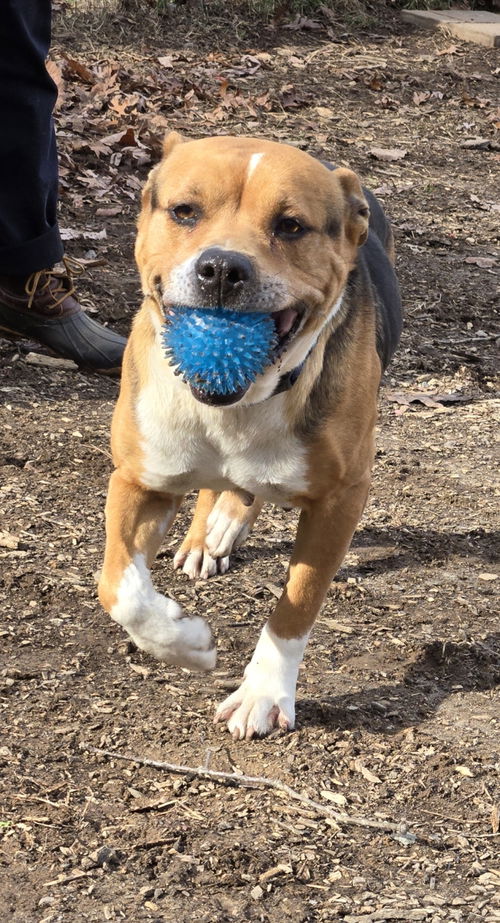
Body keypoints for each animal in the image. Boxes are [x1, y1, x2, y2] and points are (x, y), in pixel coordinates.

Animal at [97, 134, 402, 744]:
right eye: (184, 211)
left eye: (291, 226)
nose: (221, 268)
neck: (238, 404)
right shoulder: (139, 479)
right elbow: (119, 585)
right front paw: (186, 643)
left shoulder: (341, 498)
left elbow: (297, 604)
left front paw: (262, 693)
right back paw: (207, 535)